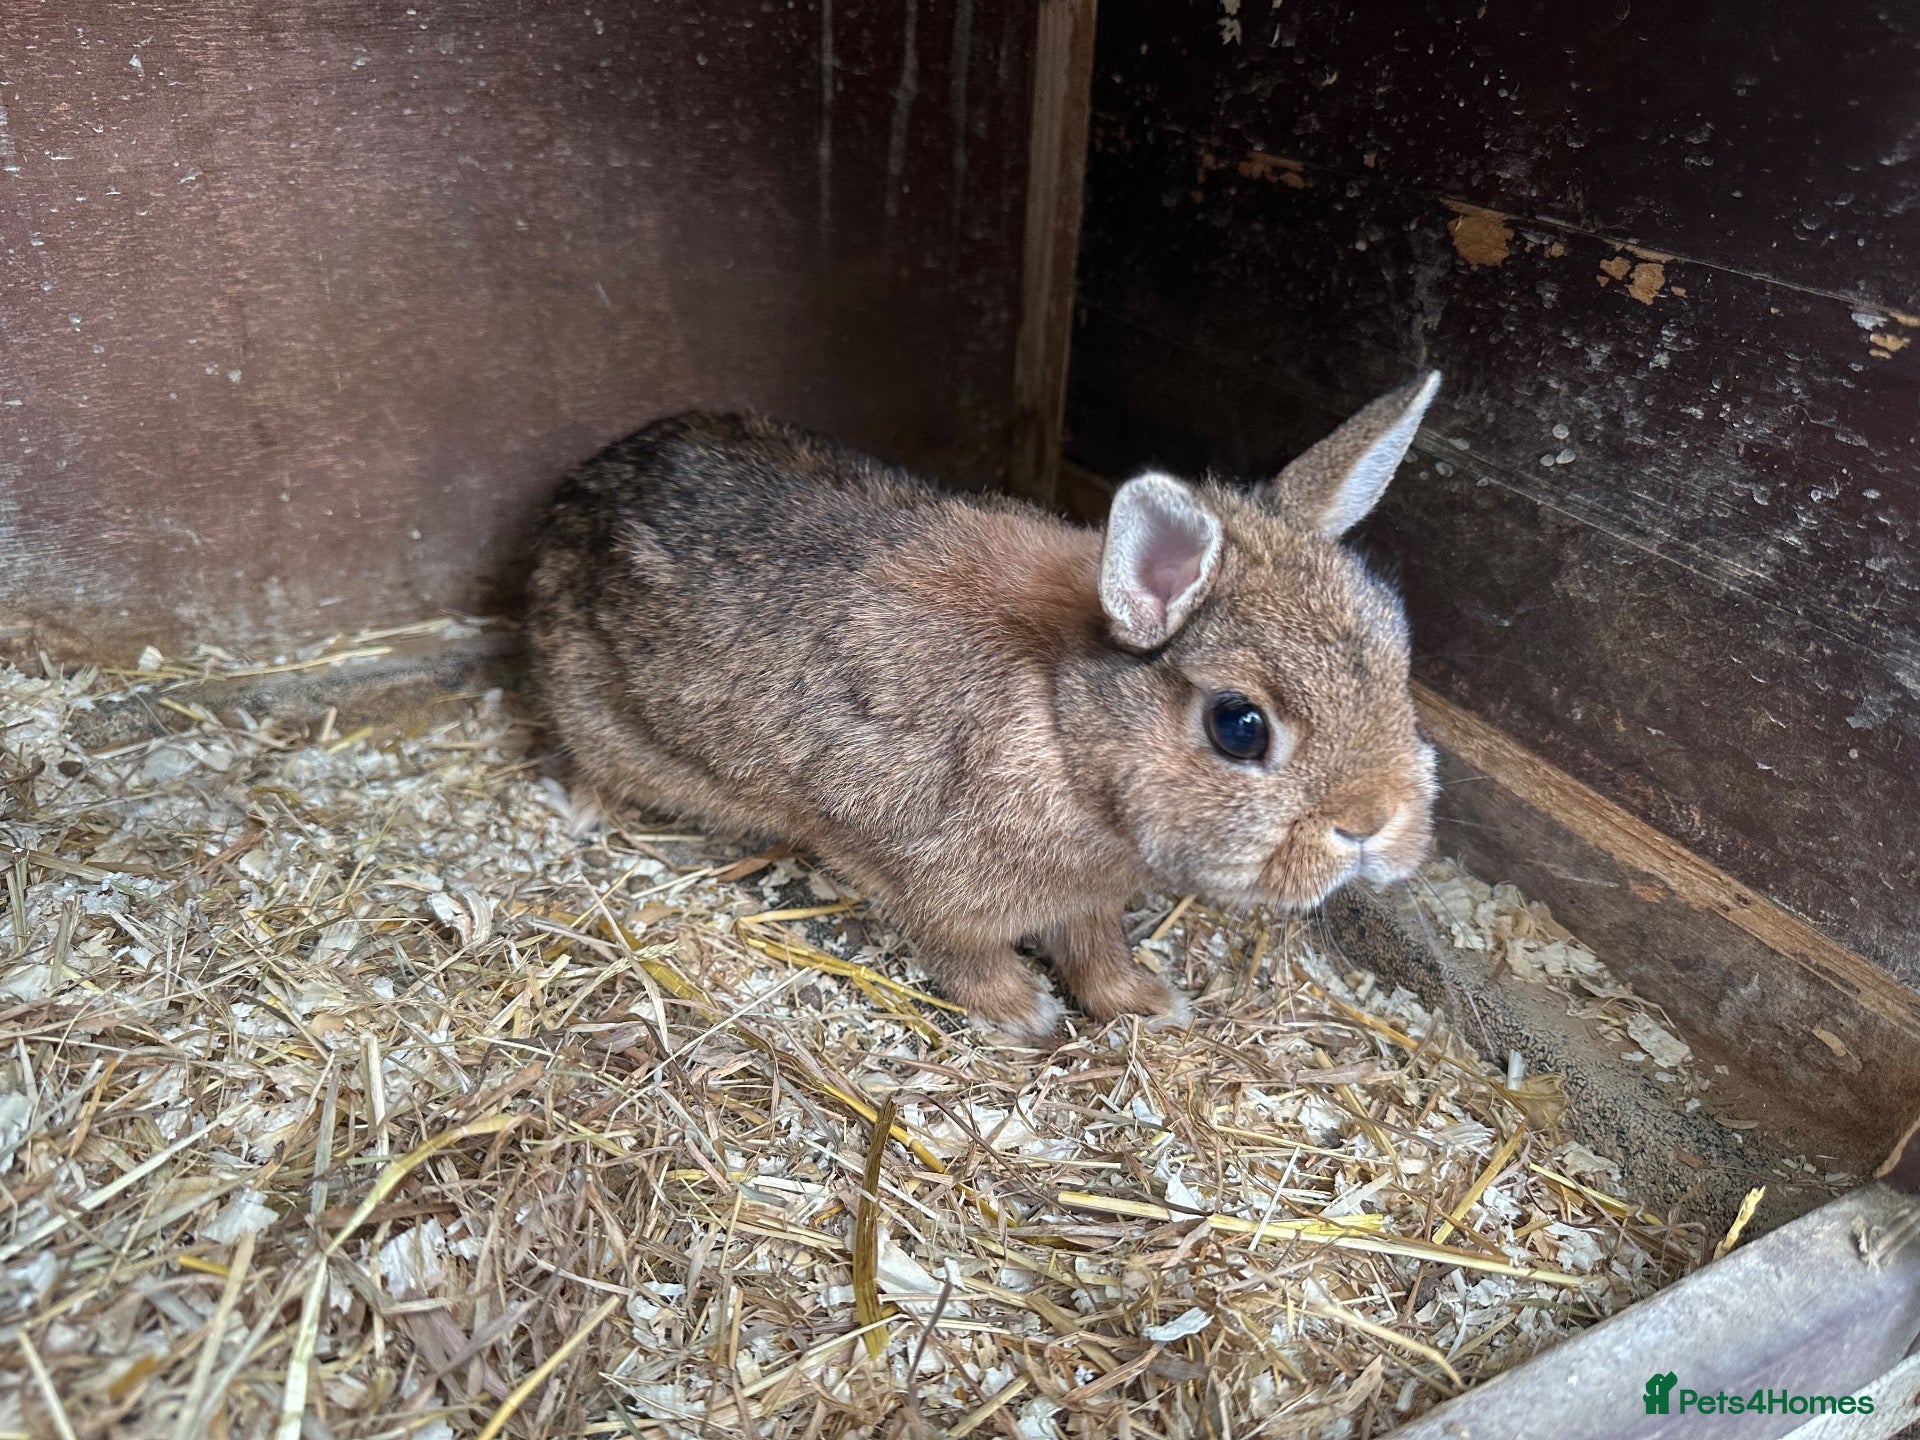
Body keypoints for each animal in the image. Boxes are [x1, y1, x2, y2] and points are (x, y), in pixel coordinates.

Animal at [527, 373, 1442, 1039]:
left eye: (1399, 656)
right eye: (1238, 726)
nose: (1373, 824)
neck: (1070, 736)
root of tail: (576, 491)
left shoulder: (1088, 902)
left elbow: (1097, 950)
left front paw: (1145, 1003)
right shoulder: (925, 878)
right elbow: (963, 953)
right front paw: (1024, 1014)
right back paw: (585, 810)